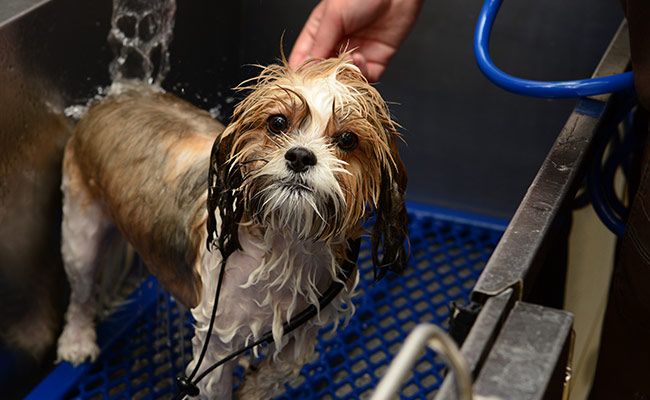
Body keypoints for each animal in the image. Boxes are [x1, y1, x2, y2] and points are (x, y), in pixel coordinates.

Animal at [58, 54, 408, 398]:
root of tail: (115, 96)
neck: (286, 241)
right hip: (80, 235)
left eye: (348, 139)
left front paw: (252, 387)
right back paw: (77, 341)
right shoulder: (215, 344)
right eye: (277, 122)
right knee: (80, 294)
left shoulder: (305, 324)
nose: (300, 156)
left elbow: (283, 367)